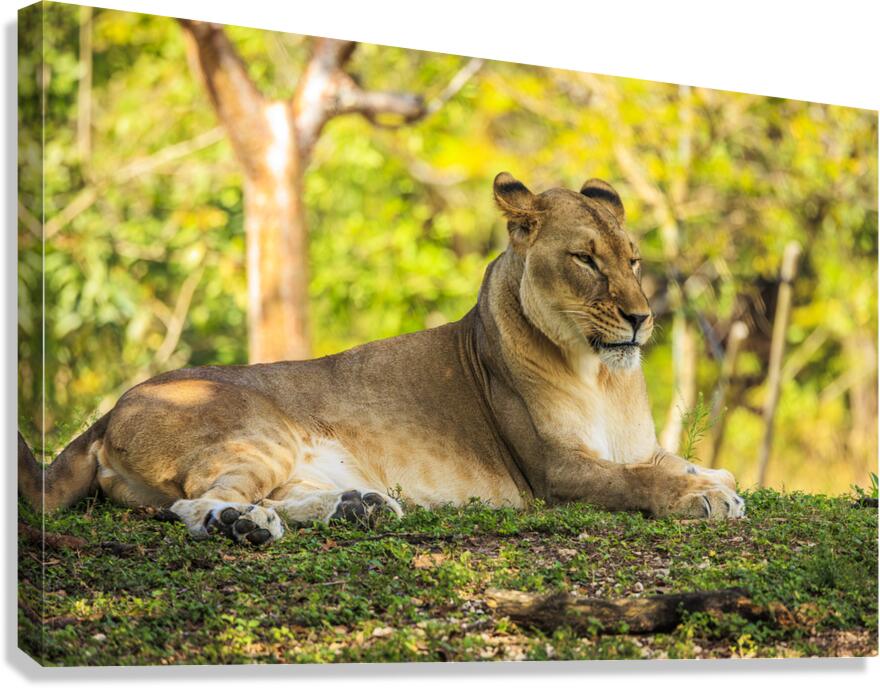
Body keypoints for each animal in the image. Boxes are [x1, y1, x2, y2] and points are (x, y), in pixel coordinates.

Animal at [19, 173, 744, 545]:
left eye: (634, 261)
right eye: (586, 260)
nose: (641, 317)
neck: (601, 375)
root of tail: (112, 409)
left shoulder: (632, 445)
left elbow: (668, 461)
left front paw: (711, 476)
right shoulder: (552, 472)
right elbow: (638, 481)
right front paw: (704, 498)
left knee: (270, 495)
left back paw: (358, 507)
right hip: (257, 430)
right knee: (197, 504)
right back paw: (244, 525)